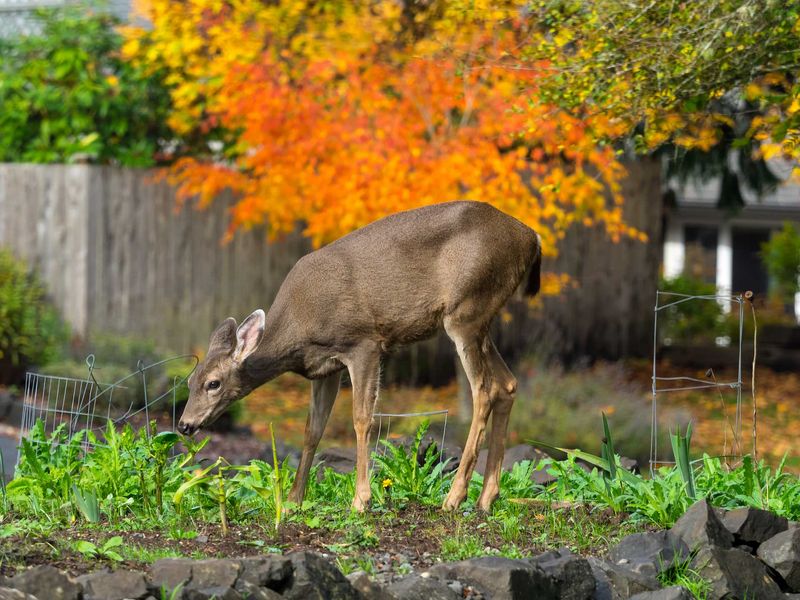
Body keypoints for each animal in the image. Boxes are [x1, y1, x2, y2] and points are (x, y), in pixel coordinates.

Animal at [177, 200, 542, 512]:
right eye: (189, 380)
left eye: (213, 383)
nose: (184, 424)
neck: (299, 329)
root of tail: (531, 237)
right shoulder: (324, 368)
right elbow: (313, 429)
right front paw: (294, 500)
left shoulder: (364, 343)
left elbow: (362, 419)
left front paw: (361, 499)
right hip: (481, 319)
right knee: (508, 384)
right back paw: (486, 498)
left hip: (466, 309)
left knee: (484, 389)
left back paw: (454, 497)